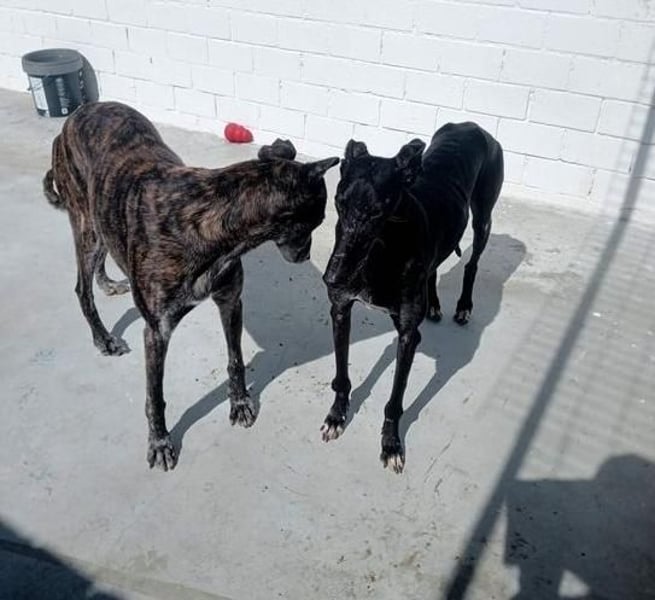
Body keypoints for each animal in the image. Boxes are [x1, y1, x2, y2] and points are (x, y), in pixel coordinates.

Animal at [44, 101, 338, 471]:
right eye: (318, 221)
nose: (306, 256)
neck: (209, 217)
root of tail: (76, 115)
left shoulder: (230, 301)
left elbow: (236, 359)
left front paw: (240, 402)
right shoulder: (157, 332)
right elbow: (155, 395)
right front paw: (159, 442)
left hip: (101, 221)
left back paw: (108, 283)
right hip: (86, 228)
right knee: (81, 289)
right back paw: (103, 338)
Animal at [321, 122, 504, 473]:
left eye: (377, 212)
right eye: (338, 201)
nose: (332, 278)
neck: (383, 252)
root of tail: (472, 125)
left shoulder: (407, 335)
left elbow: (395, 400)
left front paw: (391, 445)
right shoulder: (340, 311)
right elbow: (341, 377)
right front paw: (336, 416)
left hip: (484, 217)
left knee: (472, 262)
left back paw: (463, 307)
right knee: (434, 268)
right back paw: (434, 305)